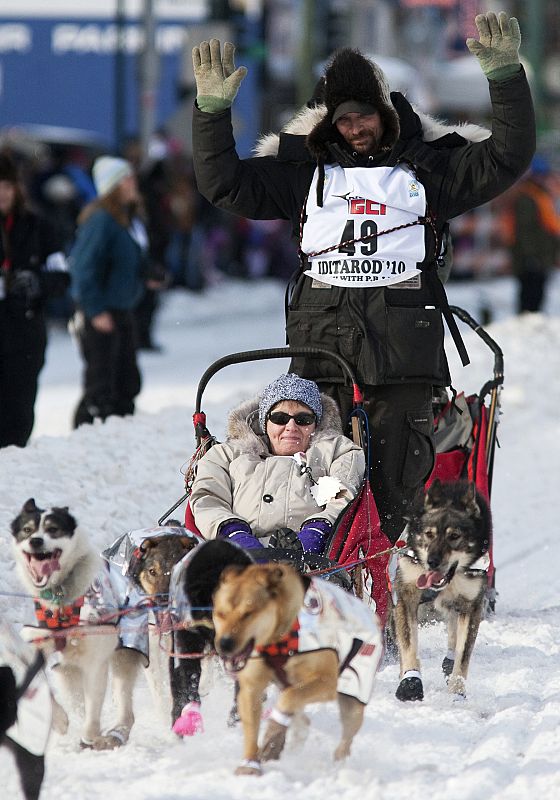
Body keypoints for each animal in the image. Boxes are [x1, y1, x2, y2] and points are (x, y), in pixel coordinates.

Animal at [10, 500, 144, 752]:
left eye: (52, 529)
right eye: (27, 530)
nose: (36, 541)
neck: (61, 596)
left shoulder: (95, 660)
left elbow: (93, 710)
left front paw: (91, 735)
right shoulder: (43, 644)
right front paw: (59, 720)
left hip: (125, 657)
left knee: (126, 708)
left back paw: (112, 735)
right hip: (69, 672)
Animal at [212, 564, 382, 776]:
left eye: (248, 613)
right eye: (220, 614)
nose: (224, 644)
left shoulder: (326, 683)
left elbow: (288, 699)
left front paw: (273, 732)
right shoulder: (252, 686)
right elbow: (252, 724)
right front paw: (250, 764)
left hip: (353, 701)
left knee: (344, 742)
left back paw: (336, 766)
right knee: (302, 718)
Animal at [392, 478, 492, 704]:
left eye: (454, 536)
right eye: (429, 534)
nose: (432, 561)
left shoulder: (471, 605)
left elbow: (463, 654)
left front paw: (457, 691)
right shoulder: (407, 595)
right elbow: (409, 644)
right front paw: (410, 683)